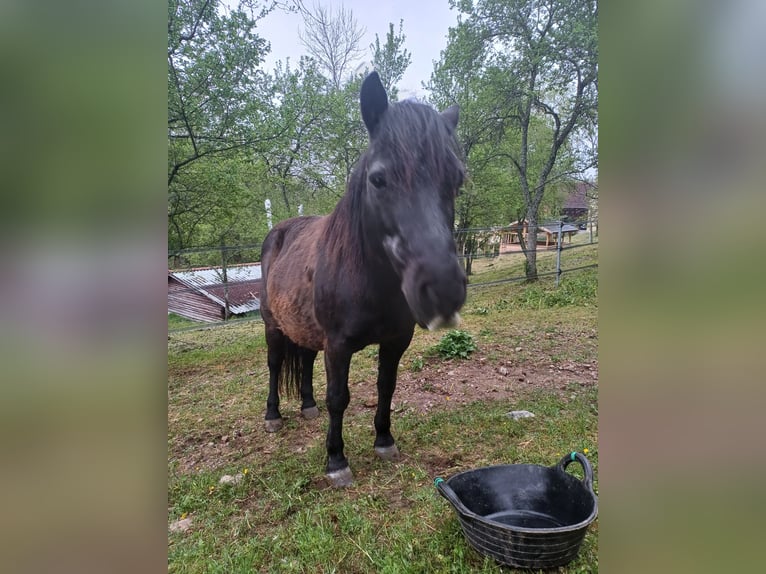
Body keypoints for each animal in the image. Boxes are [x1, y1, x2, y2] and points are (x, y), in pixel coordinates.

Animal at [259, 71, 467, 487]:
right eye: (378, 179)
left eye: (457, 180)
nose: (443, 290)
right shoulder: (338, 346)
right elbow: (339, 397)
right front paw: (336, 461)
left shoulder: (396, 340)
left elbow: (386, 385)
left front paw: (384, 441)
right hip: (273, 326)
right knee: (275, 365)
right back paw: (273, 416)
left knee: (305, 359)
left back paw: (307, 406)